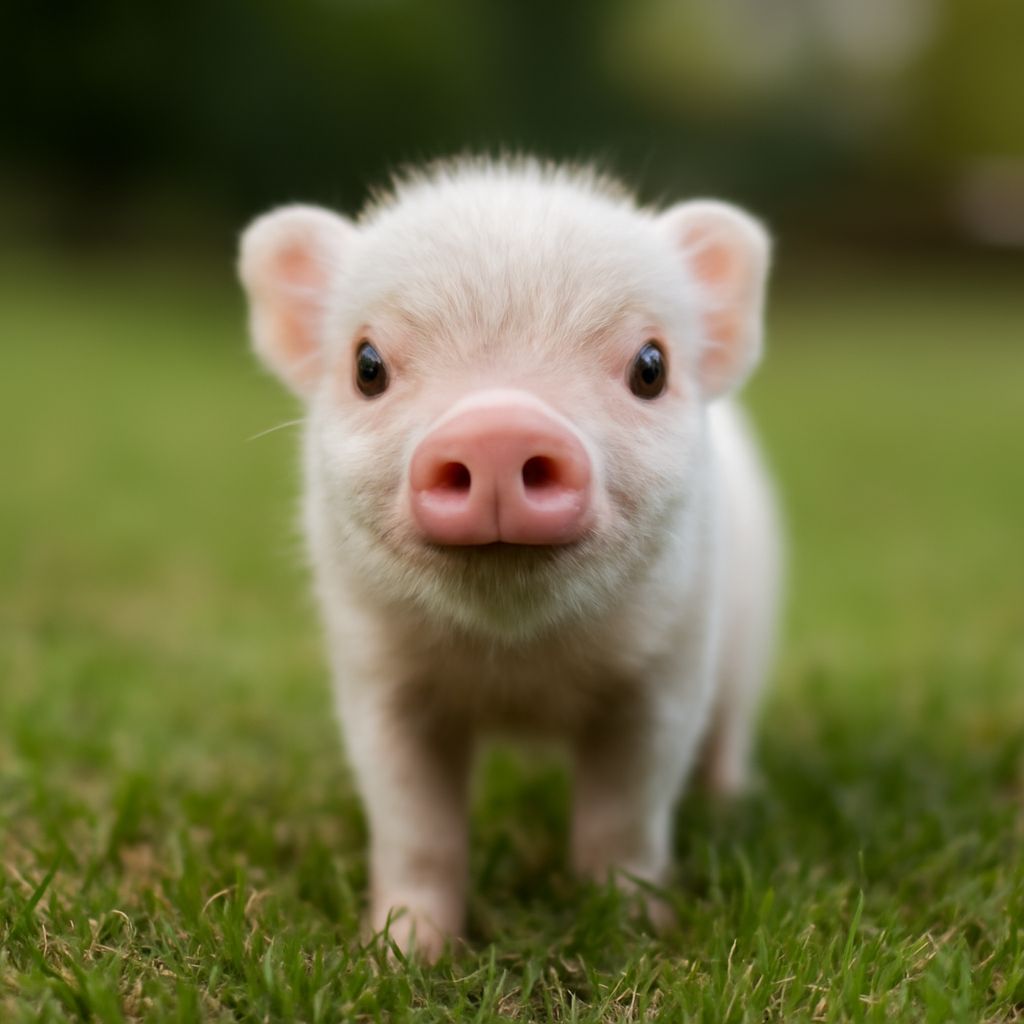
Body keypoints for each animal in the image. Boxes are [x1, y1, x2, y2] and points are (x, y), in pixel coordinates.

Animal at [238, 158, 781, 959]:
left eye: (651, 366)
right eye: (367, 366)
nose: (498, 426)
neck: (519, 666)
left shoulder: (669, 666)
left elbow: (626, 814)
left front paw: (632, 933)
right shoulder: (377, 677)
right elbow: (414, 825)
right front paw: (401, 954)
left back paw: (731, 801)